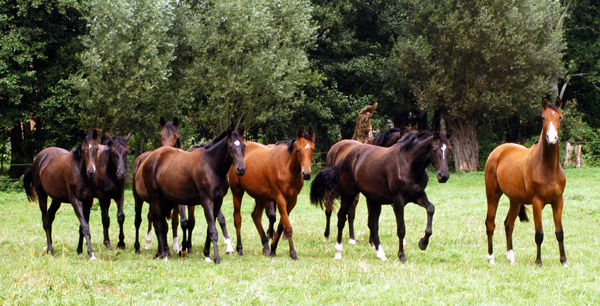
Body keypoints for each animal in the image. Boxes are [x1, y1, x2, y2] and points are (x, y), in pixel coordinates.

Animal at [23, 130, 99, 260]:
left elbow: (83, 226)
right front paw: (91, 254)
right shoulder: (76, 201)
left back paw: (47, 248)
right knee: (46, 220)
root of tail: (38, 159)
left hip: (56, 199)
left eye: (96, 149)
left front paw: (80, 250)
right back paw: (51, 250)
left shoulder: (88, 202)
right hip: (42, 194)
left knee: (50, 216)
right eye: (83, 150)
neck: (80, 175)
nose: (91, 172)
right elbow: (85, 226)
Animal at [135, 127, 246, 262]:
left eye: (244, 146)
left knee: (161, 223)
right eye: (230, 147)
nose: (241, 169)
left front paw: (206, 253)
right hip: (155, 199)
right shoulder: (206, 201)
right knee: (157, 224)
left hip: (165, 201)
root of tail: (148, 159)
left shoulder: (218, 202)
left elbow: (211, 228)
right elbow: (213, 231)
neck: (211, 166)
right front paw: (215, 258)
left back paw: (161, 253)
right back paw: (164, 254)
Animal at [227, 128, 316, 260]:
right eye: (298, 150)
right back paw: (240, 249)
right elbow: (288, 227)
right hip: (237, 192)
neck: (287, 167)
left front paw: (273, 248)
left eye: (313, 150)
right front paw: (293, 253)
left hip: (262, 198)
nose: (306, 174)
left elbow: (281, 225)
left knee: (256, 216)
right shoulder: (280, 199)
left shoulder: (292, 201)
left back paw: (266, 246)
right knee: (237, 218)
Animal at [312, 130, 448, 262]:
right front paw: (401, 255)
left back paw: (380, 254)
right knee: (341, 217)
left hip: (373, 200)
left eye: (448, 149)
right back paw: (338, 251)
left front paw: (423, 243)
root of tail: (346, 157)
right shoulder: (398, 201)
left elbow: (431, 209)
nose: (443, 176)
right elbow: (401, 229)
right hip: (348, 194)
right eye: (434, 149)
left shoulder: (418, 196)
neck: (408, 165)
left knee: (372, 224)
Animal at [482, 97, 568, 266]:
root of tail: (497, 152)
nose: (552, 138)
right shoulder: (537, 202)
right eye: (543, 118)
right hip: (493, 195)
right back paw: (491, 258)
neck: (548, 168)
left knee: (509, 225)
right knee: (490, 223)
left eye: (560, 117)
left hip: (515, 200)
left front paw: (564, 261)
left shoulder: (558, 202)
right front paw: (538, 261)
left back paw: (511, 258)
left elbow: (559, 232)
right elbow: (539, 234)